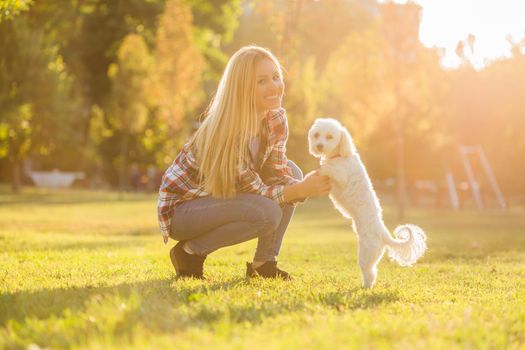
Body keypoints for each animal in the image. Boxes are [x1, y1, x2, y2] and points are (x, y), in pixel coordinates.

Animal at [308, 119, 426, 288]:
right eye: (316, 135)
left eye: (329, 136)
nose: (319, 146)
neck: (339, 155)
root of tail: (383, 234)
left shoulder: (341, 174)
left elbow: (326, 168)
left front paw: (320, 168)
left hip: (366, 253)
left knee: (369, 272)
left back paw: (366, 287)